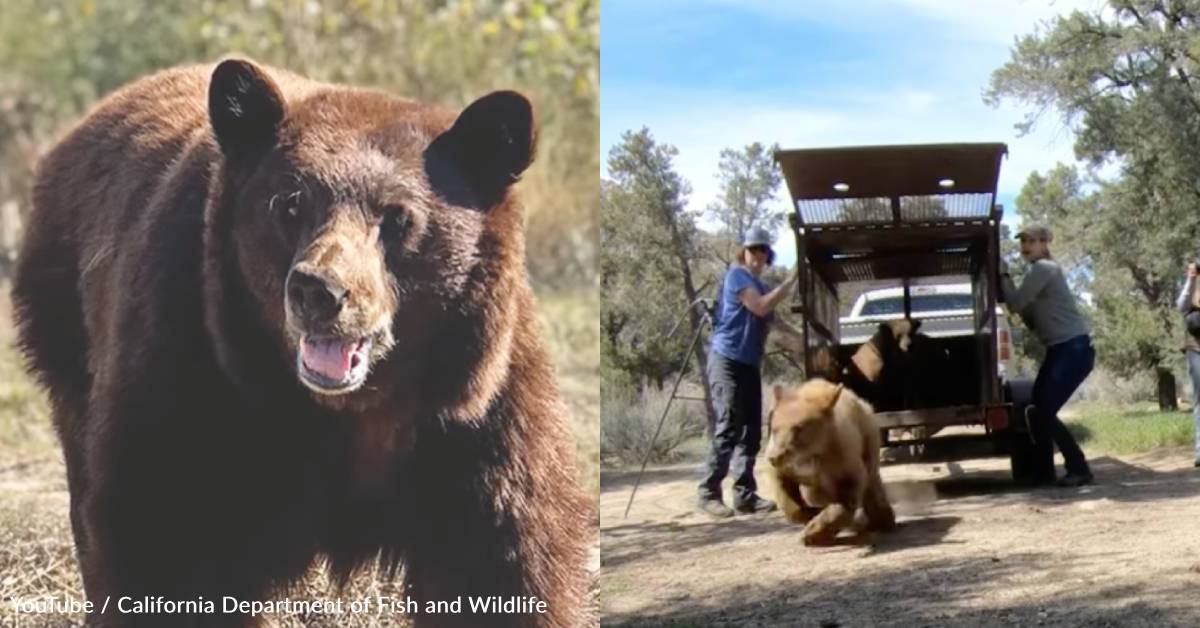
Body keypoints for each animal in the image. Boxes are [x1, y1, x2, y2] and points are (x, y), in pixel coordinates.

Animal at [9, 56, 590, 624]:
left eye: (399, 218)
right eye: (288, 204)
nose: (320, 291)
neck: (351, 411)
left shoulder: (475, 406)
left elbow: (501, 555)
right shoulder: (192, 365)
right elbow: (165, 534)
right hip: (65, 330)